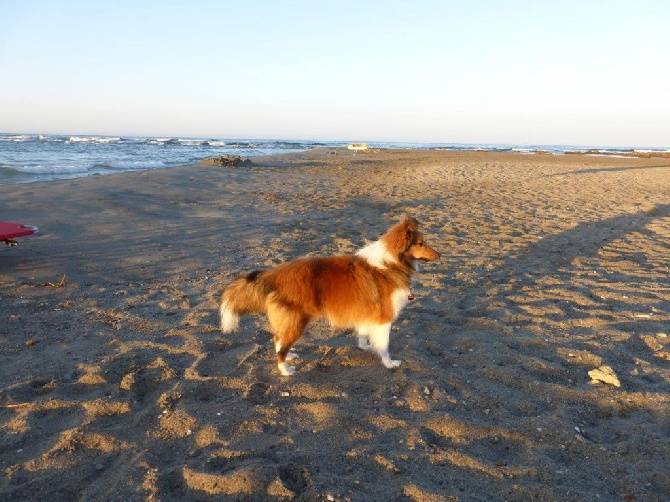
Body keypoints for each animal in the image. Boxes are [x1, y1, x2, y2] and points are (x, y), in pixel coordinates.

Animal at [219, 217, 440, 376]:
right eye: (421, 243)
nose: (440, 255)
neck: (391, 263)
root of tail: (276, 274)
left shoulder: (367, 313)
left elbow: (362, 333)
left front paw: (365, 347)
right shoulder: (384, 318)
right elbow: (384, 345)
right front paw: (389, 363)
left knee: (277, 338)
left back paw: (290, 356)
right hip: (297, 321)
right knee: (280, 344)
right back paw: (285, 370)